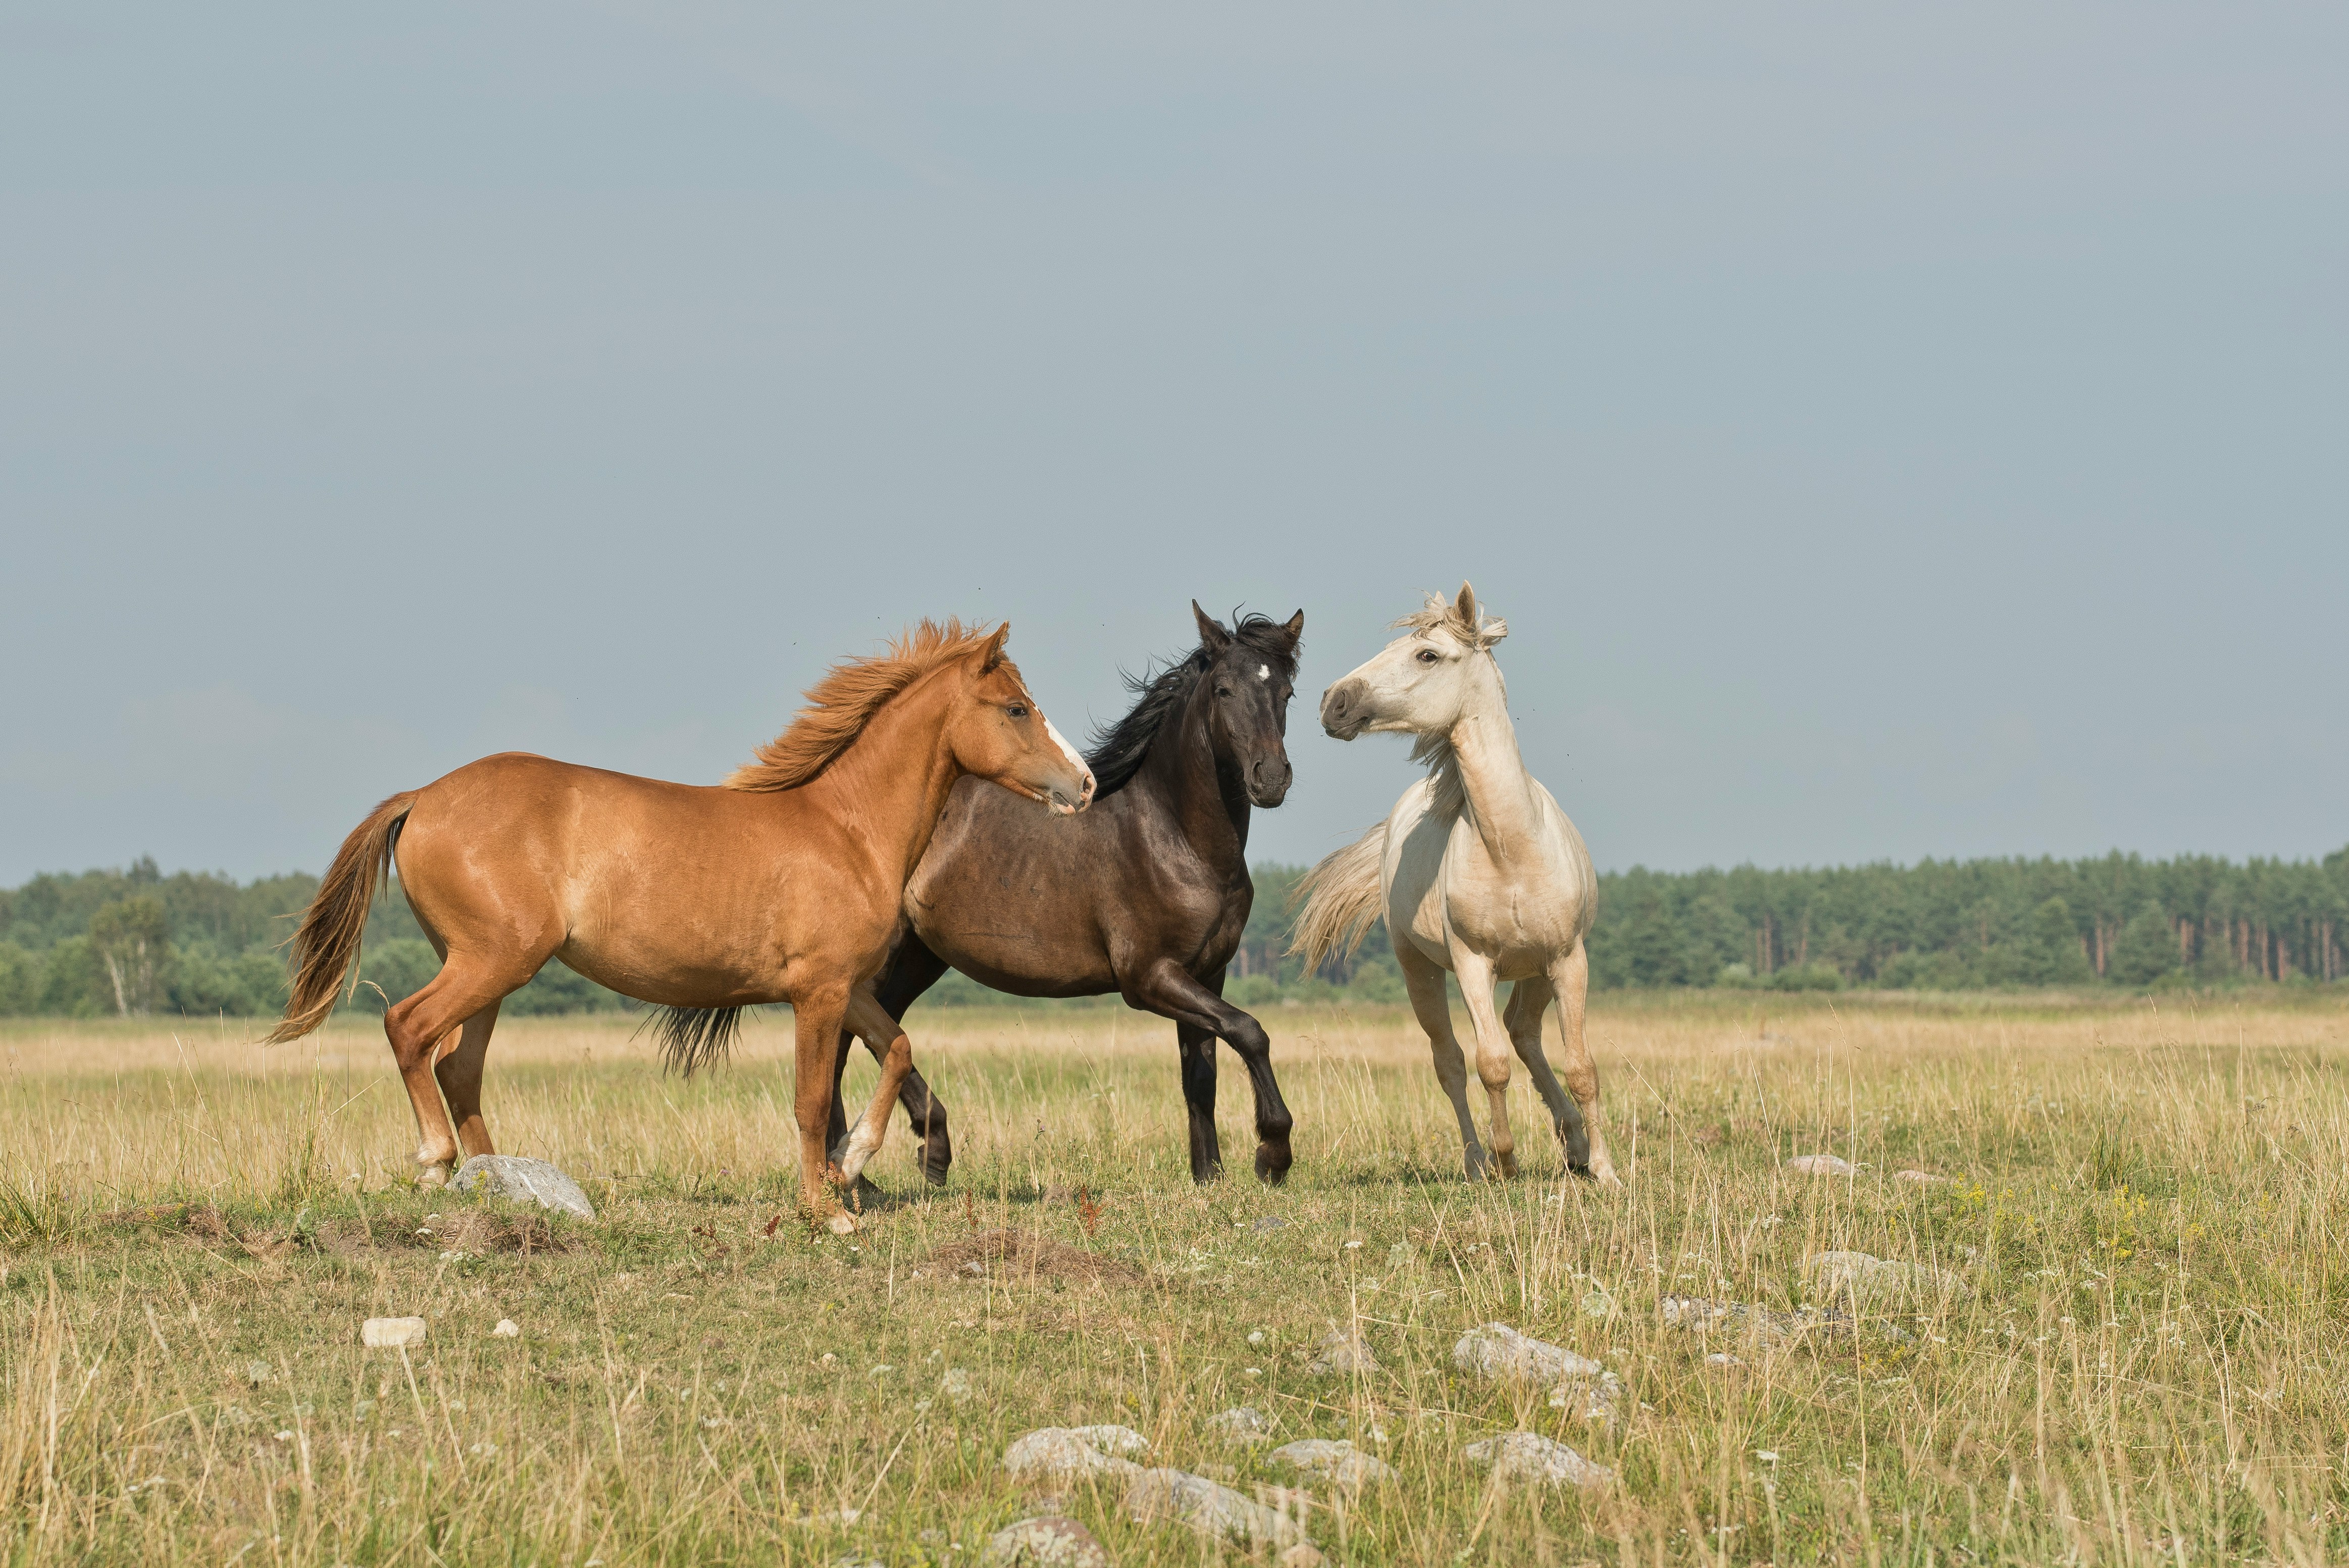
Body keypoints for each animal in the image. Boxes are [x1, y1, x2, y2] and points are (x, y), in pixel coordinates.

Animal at [268, 621, 1095, 1214]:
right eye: (1017, 708)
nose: (1084, 784)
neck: (846, 829)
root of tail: (423, 797)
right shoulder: (817, 993)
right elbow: (810, 1099)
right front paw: (826, 1208)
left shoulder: (847, 987)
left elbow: (895, 1049)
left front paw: (854, 1161)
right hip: (492, 960)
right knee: (409, 1028)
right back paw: (437, 1164)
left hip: (490, 971)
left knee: (457, 1065)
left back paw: (498, 1181)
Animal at [822, 602, 1305, 1186]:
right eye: (1224, 690)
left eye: (1286, 692)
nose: (1271, 778)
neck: (1175, 837)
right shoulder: (1149, 977)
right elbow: (1250, 1030)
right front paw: (1272, 1153)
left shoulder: (1207, 973)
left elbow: (1201, 1076)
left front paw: (1209, 1176)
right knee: (842, 1041)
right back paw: (865, 1167)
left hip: (919, 956)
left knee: (876, 1033)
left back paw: (904, 1158)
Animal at [1293, 585, 1616, 1184]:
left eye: (1427, 655)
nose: (1333, 702)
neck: (1511, 850)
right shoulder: (1472, 965)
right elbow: (1490, 1065)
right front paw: (1506, 1162)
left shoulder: (1568, 960)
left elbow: (1582, 1066)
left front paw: (1606, 1171)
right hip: (1418, 969)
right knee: (1452, 1062)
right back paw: (1477, 1161)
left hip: (1537, 970)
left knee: (1524, 1033)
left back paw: (1575, 1144)